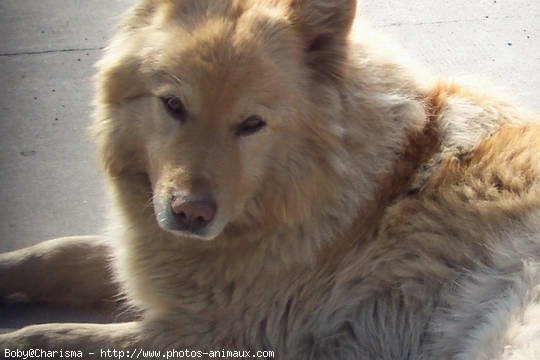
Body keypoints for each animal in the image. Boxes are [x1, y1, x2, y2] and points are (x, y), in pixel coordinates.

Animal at [1, 0, 540, 358]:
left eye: (251, 125)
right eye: (173, 105)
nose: (190, 214)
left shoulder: (220, 334)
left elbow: (56, 335)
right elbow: (59, 253)